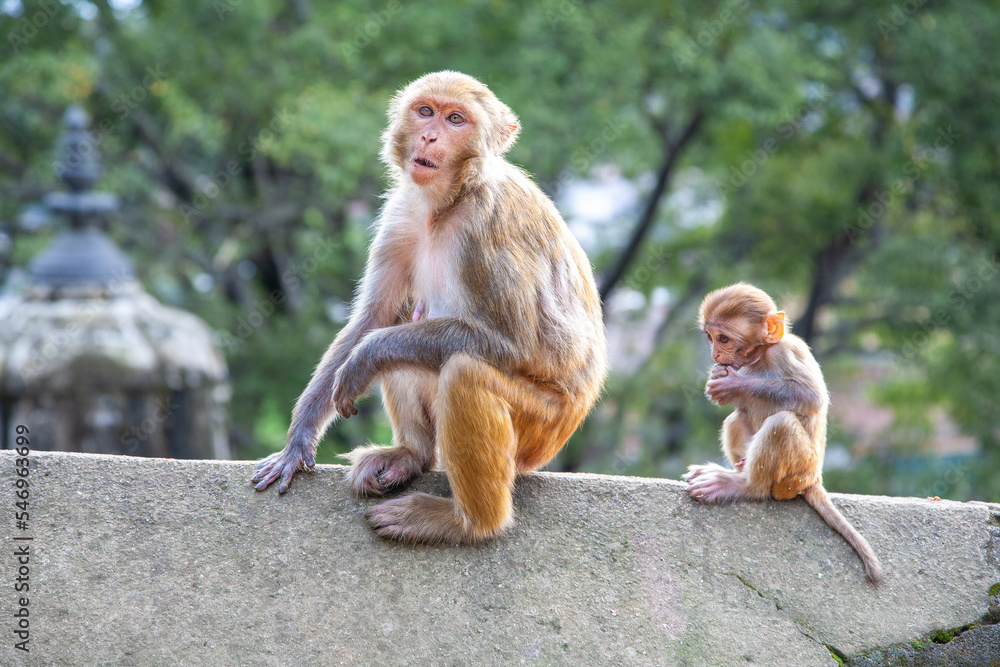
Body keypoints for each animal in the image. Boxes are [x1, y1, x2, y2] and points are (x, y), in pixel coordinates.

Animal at [252, 71, 607, 545]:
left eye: (456, 119)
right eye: (425, 111)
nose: (430, 135)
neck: (449, 202)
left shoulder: (487, 228)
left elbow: (513, 344)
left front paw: (365, 358)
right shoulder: (401, 215)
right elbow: (372, 318)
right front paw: (298, 441)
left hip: (544, 427)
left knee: (462, 370)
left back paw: (464, 522)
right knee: (408, 330)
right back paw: (411, 457)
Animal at [683, 283, 883, 585]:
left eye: (724, 339)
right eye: (710, 338)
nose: (715, 355)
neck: (762, 355)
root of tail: (813, 479)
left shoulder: (788, 351)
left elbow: (811, 396)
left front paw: (733, 384)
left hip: (796, 473)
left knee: (781, 423)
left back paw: (743, 486)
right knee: (736, 418)